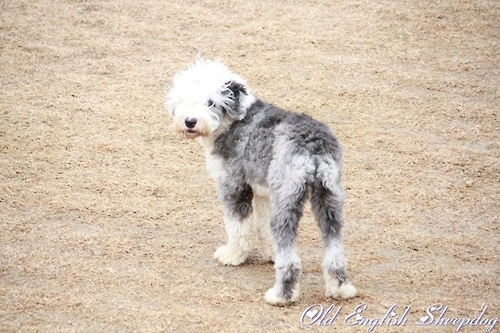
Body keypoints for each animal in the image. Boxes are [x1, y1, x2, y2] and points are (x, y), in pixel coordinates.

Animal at [166, 59, 358, 304]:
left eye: (211, 103)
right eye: (186, 99)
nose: (190, 122)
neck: (233, 121)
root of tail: (313, 146)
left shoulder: (234, 186)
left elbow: (237, 226)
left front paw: (233, 255)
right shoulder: (264, 192)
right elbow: (263, 226)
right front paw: (270, 253)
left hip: (287, 201)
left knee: (291, 258)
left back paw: (281, 296)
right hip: (330, 198)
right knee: (335, 248)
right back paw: (341, 289)